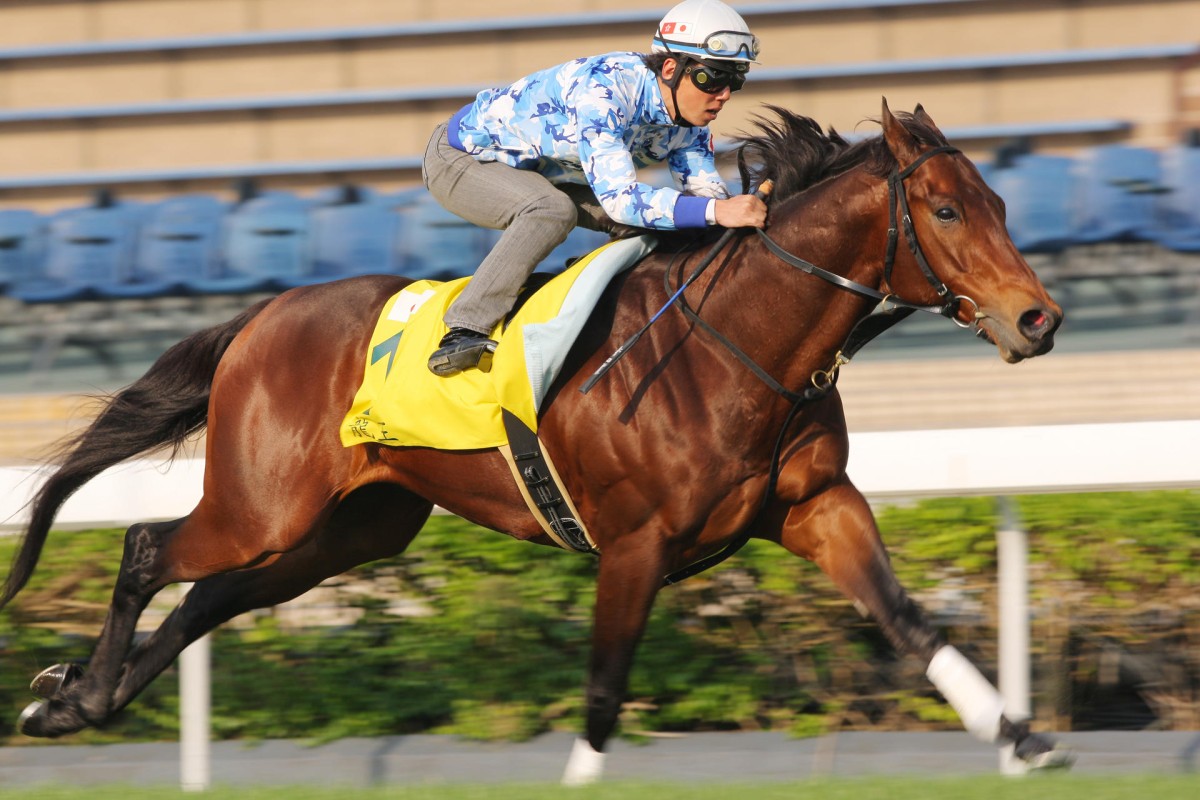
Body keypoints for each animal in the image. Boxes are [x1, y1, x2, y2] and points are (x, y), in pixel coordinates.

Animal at [2, 101, 1070, 782]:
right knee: (150, 550)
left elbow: (909, 620)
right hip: (261, 505)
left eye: (1001, 203)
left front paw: (1021, 738)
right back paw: (70, 695)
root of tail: (261, 316)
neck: (737, 343)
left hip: (348, 529)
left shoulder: (814, 506)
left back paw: (73, 701)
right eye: (944, 209)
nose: (1039, 320)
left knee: (208, 599)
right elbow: (602, 693)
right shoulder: (637, 545)